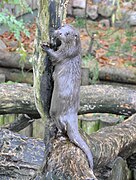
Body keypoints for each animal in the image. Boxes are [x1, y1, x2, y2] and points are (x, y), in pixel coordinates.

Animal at [41, 24, 93, 169]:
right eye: (61, 27)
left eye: (67, 33)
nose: (58, 32)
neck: (73, 51)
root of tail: (71, 114)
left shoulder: (64, 54)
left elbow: (55, 56)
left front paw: (46, 46)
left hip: (55, 112)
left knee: (62, 128)